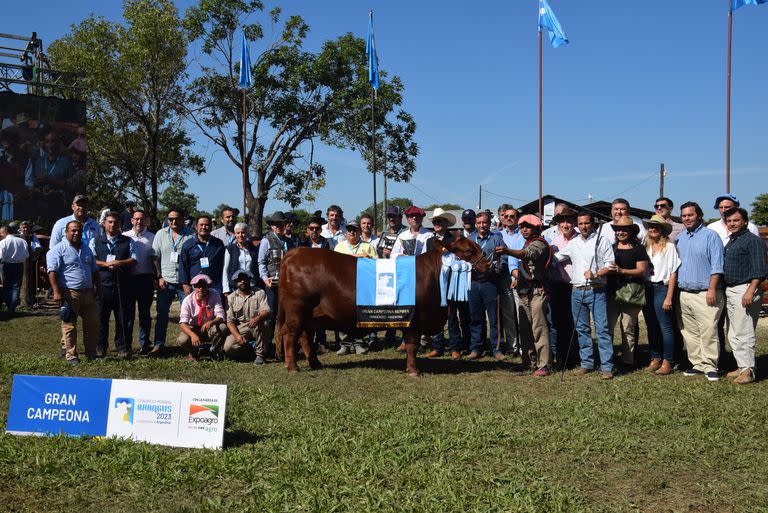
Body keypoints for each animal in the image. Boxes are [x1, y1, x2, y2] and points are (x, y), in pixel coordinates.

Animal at [276, 236, 492, 376]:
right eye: (469, 251)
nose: (489, 266)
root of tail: (296, 252)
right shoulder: (414, 319)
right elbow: (412, 345)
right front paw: (413, 370)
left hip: (310, 315)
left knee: (305, 336)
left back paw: (315, 364)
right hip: (297, 310)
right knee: (290, 334)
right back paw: (293, 367)